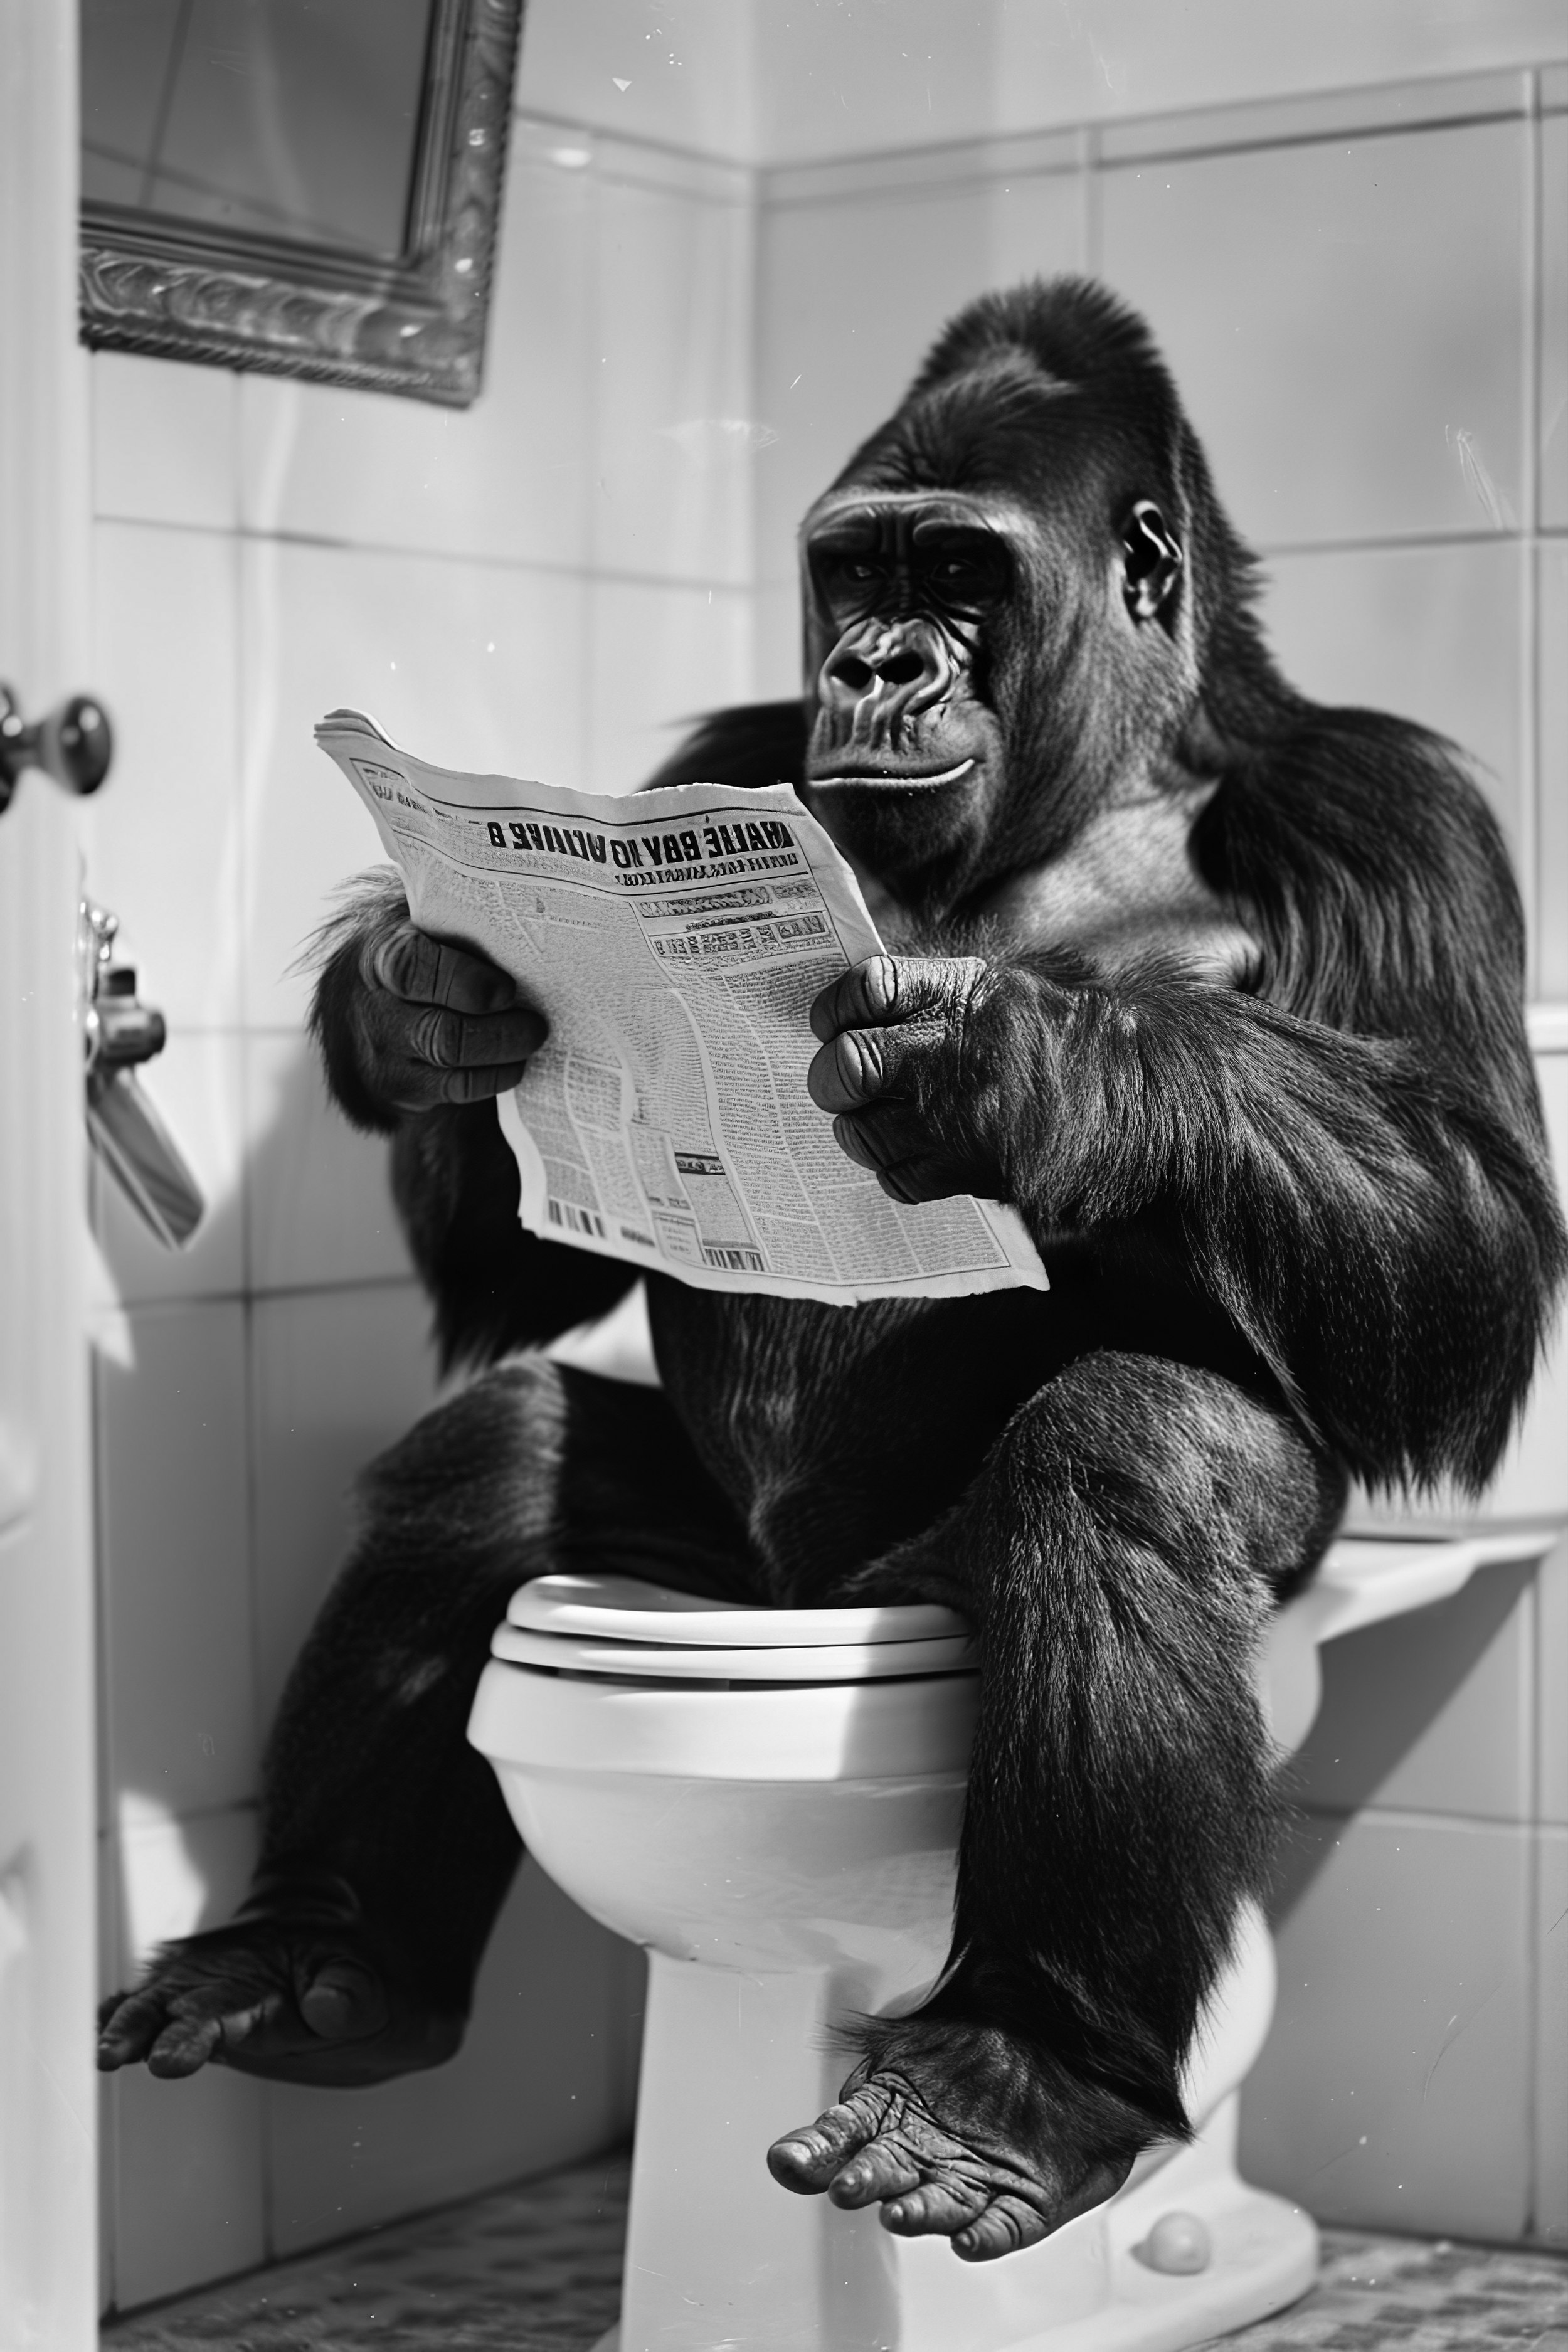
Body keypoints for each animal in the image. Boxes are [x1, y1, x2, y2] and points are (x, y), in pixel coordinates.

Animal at [99, 278, 1566, 2263]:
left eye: (958, 568)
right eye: (857, 566)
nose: (873, 665)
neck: (1118, 767)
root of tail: (811, 1586)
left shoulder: (1384, 811)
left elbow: (1474, 1222)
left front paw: (1039, 1068)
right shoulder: (698, 761)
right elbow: (509, 1269)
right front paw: (419, 990)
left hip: (908, 1610)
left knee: (1132, 1460)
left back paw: (1023, 2071)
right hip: (722, 1597)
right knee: (490, 1458)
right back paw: (320, 1949)